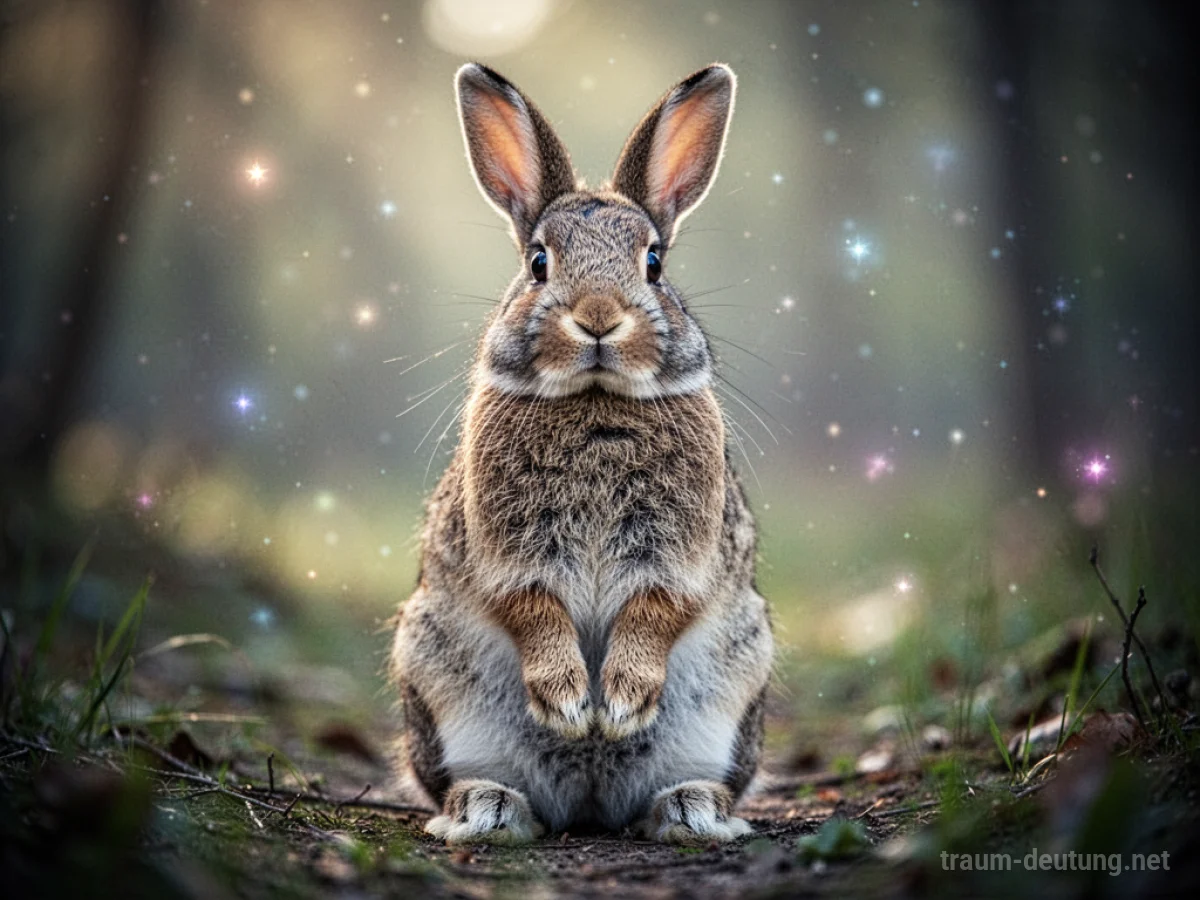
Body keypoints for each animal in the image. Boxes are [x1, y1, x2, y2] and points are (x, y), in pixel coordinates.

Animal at [388, 61, 773, 845]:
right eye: (539, 262)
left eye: (653, 262)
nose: (598, 317)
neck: (595, 399)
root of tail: (590, 805)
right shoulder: (508, 557)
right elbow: (531, 608)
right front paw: (572, 703)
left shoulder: (678, 558)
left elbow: (657, 608)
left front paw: (616, 701)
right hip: (434, 676)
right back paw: (484, 808)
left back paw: (691, 810)